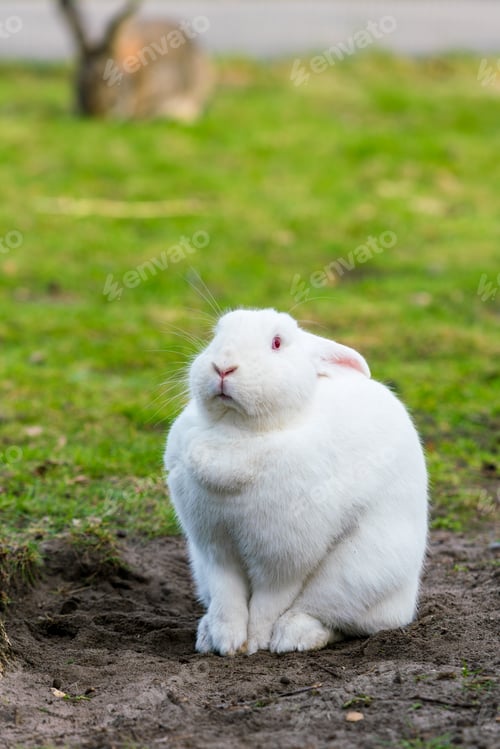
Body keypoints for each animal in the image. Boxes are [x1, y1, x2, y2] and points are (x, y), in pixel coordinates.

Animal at [164, 308, 428, 655]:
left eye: (277, 343)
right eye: (216, 335)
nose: (223, 367)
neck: (238, 431)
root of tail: (406, 602)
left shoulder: (284, 557)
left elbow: (269, 602)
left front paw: (256, 643)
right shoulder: (213, 548)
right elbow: (227, 595)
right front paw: (227, 641)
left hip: (359, 577)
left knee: (335, 619)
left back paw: (293, 637)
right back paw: (207, 635)